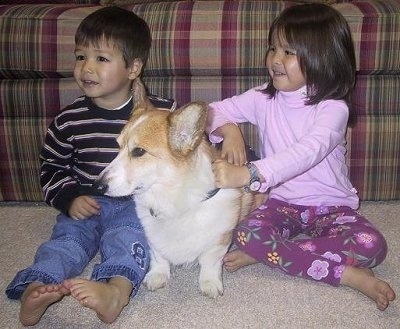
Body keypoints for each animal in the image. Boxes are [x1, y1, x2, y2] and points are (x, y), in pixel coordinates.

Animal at [96, 79, 258, 298]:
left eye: (138, 151)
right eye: (118, 146)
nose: (97, 186)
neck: (171, 200)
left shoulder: (219, 240)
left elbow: (210, 262)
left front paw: (209, 283)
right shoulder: (153, 238)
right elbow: (158, 256)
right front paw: (158, 275)